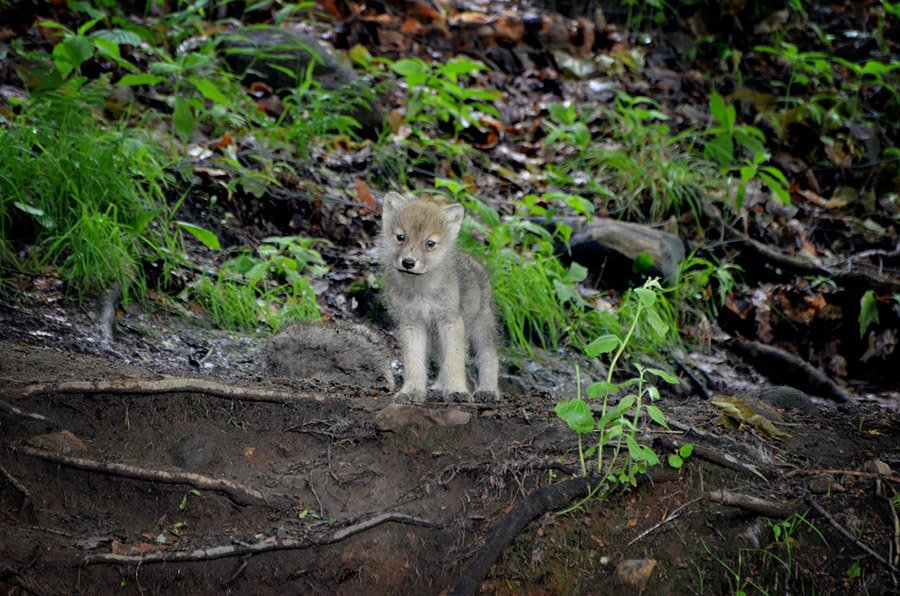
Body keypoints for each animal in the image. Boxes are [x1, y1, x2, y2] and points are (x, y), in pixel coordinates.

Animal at [379, 192, 500, 402]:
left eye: (430, 243)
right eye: (401, 237)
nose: (408, 262)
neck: (422, 290)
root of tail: (477, 265)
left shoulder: (450, 321)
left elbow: (455, 361)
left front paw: (457, 391)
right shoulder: (412, 323)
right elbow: (414, 362)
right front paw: (412, 391)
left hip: (481, 328)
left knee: (489, 355)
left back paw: (488, 390)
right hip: (437, 337)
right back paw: (438, 388)